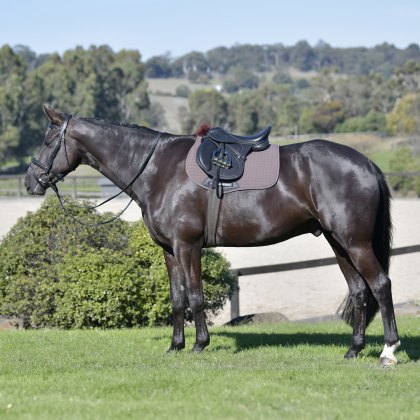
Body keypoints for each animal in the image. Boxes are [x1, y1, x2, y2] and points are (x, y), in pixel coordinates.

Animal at [24, 105, 402, 364]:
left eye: (48, 140)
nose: (30, 182)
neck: (158, 169)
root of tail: (367, 164)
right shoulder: (169, 250)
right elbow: (177, 299)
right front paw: (175, 345)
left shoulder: (187, 246)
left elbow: (195, 296)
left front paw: (198, 344)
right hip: (338, 243)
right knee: (359, 291)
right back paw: (353, 350)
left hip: (355, 243)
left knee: (381, 285)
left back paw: (389, 350)